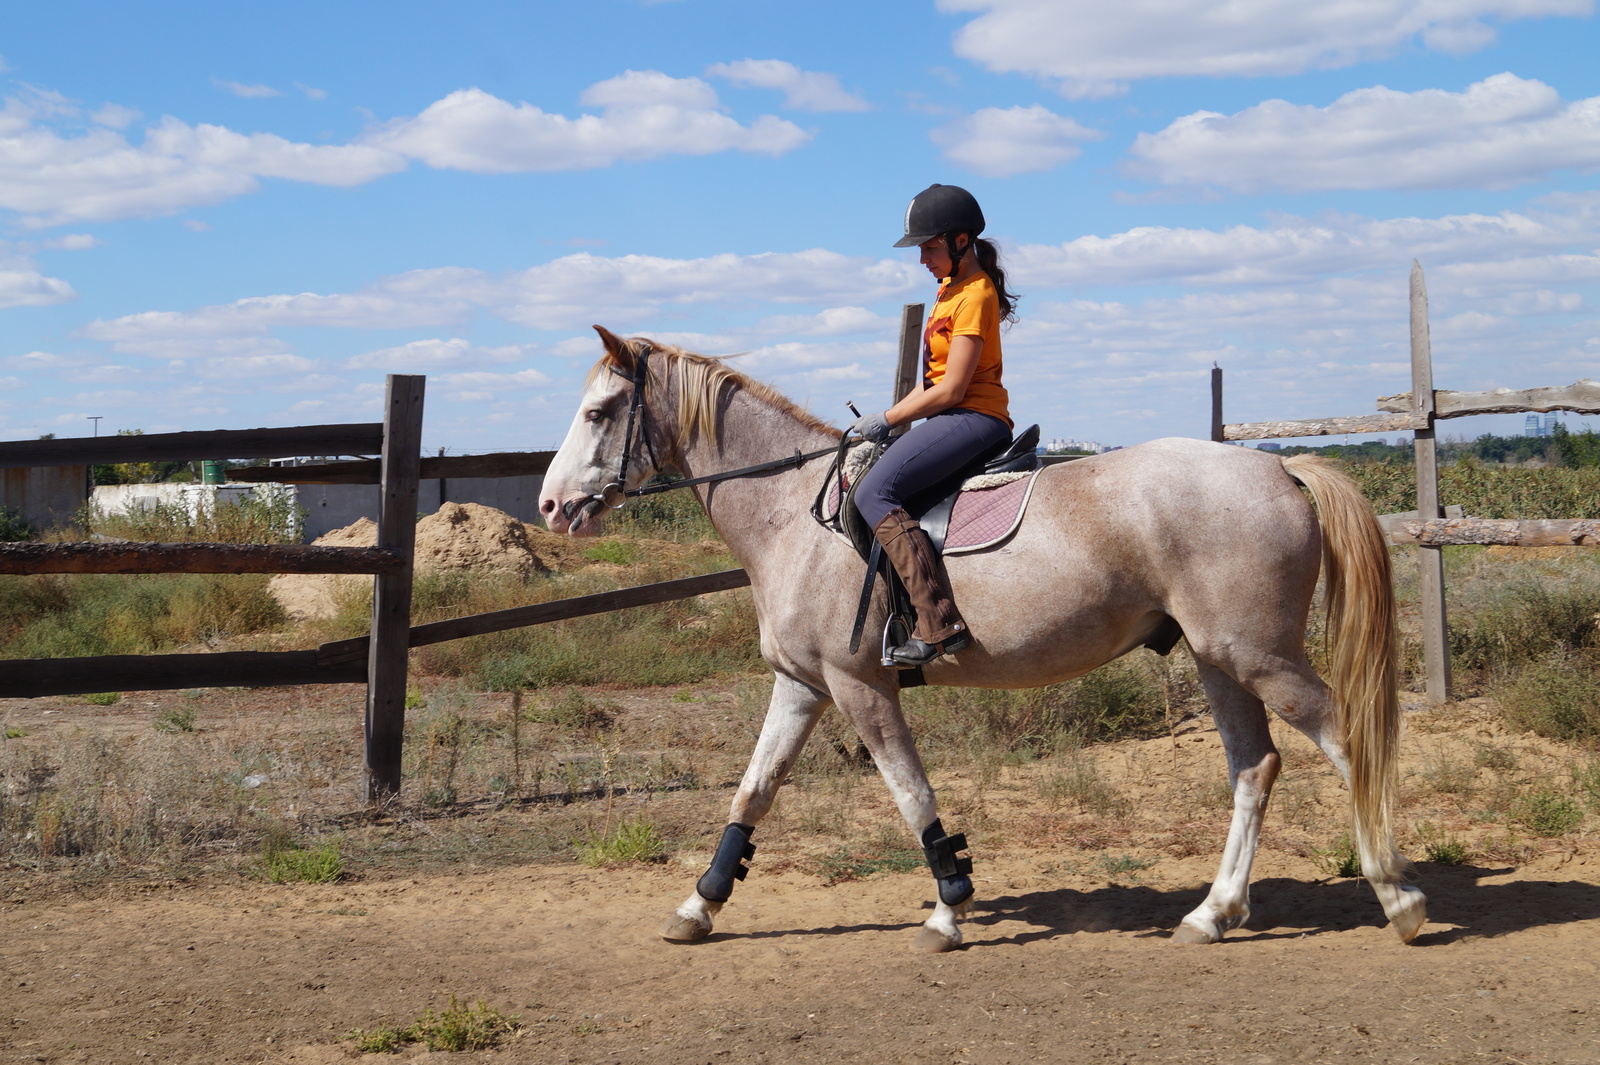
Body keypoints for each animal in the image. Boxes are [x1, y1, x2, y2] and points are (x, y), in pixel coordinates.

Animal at [534, 327, 1427, 946]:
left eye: (598, 413)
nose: (548, 506)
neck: (793, 512)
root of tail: (1278, 467)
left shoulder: (860, 684)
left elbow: (910, 793)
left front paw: (948, 907)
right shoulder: (804, 684)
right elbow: (753, 792)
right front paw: (698, 904)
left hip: (1259, 655)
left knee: (1346, 737)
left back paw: (1398, 895)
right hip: (1218, 657)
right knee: (1255, 766)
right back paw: (1213, 912)